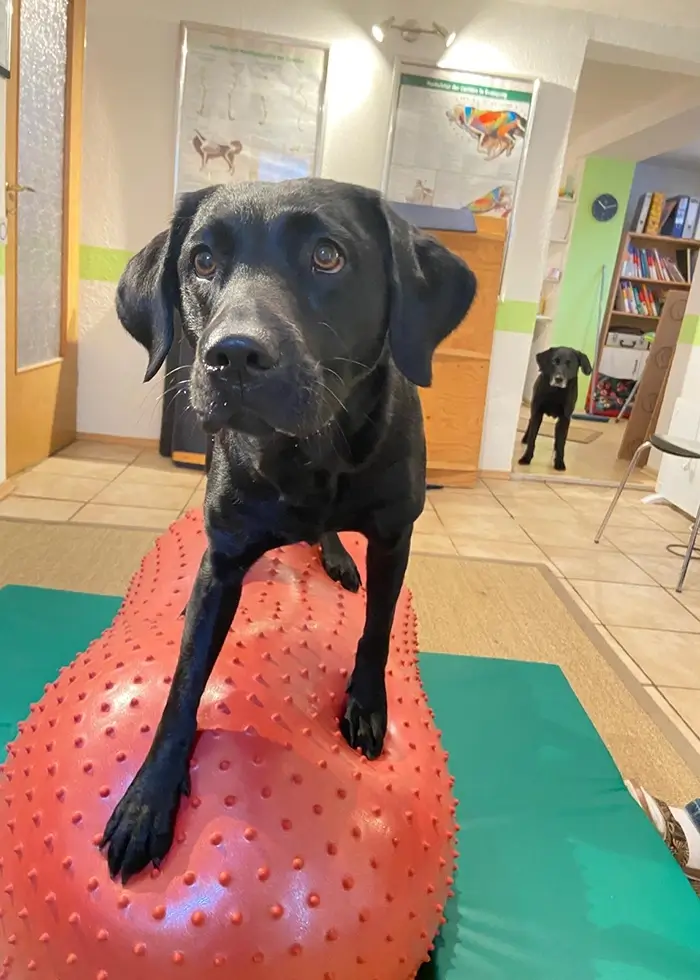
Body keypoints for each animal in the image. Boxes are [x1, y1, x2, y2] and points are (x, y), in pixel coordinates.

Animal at [100, 176, 476, 880]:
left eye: (327, 256)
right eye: (201, 261)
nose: (233, 356)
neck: (311, 455)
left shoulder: (395, 536)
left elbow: (377, 629)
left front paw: (366, 703)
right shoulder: (222, 560)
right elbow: (184, 682)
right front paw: (148, 798)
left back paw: (335, 556)